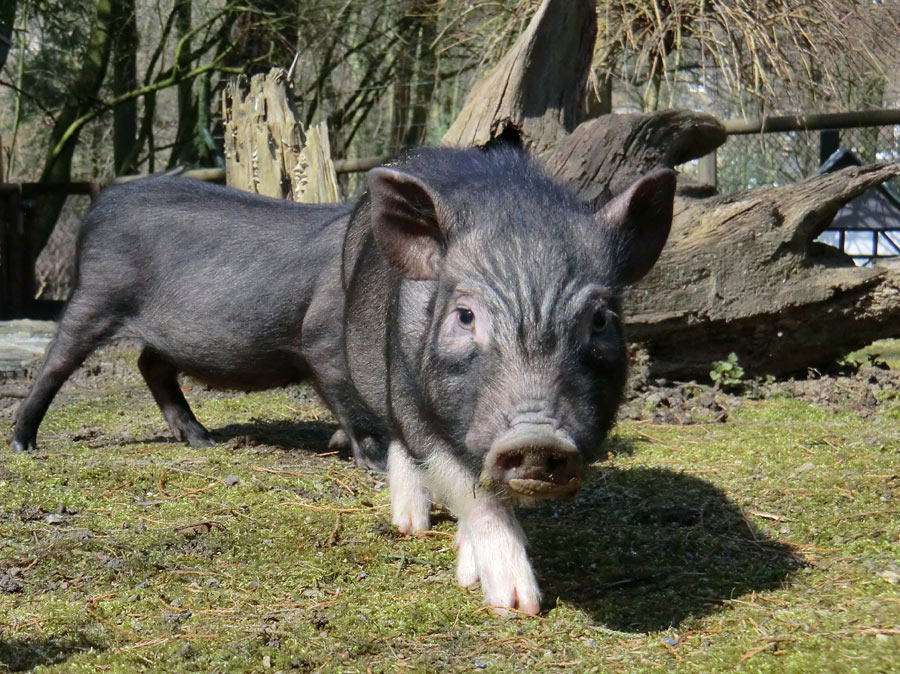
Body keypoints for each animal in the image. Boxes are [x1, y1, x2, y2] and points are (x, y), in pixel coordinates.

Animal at [12, 148, 676, 616]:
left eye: (601, 319)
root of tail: (98, 208)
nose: (538, 437)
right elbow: (384, 431)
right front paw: (517, 603)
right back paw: (25, 442)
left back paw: (203, 440)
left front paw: (476, 575)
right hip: (96, 295)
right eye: (464, 316)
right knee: (57, 361)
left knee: (151, 365)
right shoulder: (326, 345)